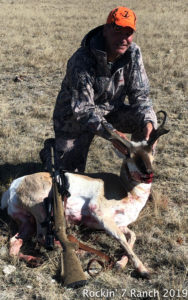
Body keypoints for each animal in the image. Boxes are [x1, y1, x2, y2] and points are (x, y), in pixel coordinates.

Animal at [0, 111, 170, 278]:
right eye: (129, 154)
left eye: (151, 152)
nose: (148, 172)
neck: (126, 190)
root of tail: (14, 185)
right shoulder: (101, 214)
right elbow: (122, 239)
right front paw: (143, 270)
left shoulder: (121, 224)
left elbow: (132, 236)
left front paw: (120, 263)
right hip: (41, 210)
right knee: (41, 237)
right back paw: (75, 249)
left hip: (27, 222)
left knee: (14, 243)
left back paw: (35, 259)